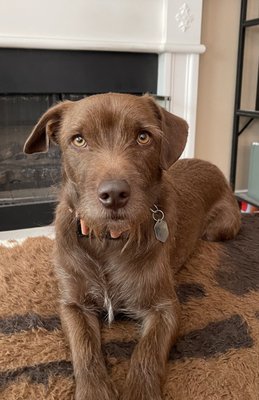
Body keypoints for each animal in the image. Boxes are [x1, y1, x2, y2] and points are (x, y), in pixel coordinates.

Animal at [24, 92, 242, 398]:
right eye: (78, 140)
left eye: (143, 137)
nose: (114, 194)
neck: (109, 239)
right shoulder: (72, 304)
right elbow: (84, 347)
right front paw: (94, 391)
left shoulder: (165, 307)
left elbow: (147, 351)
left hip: (221, 229)